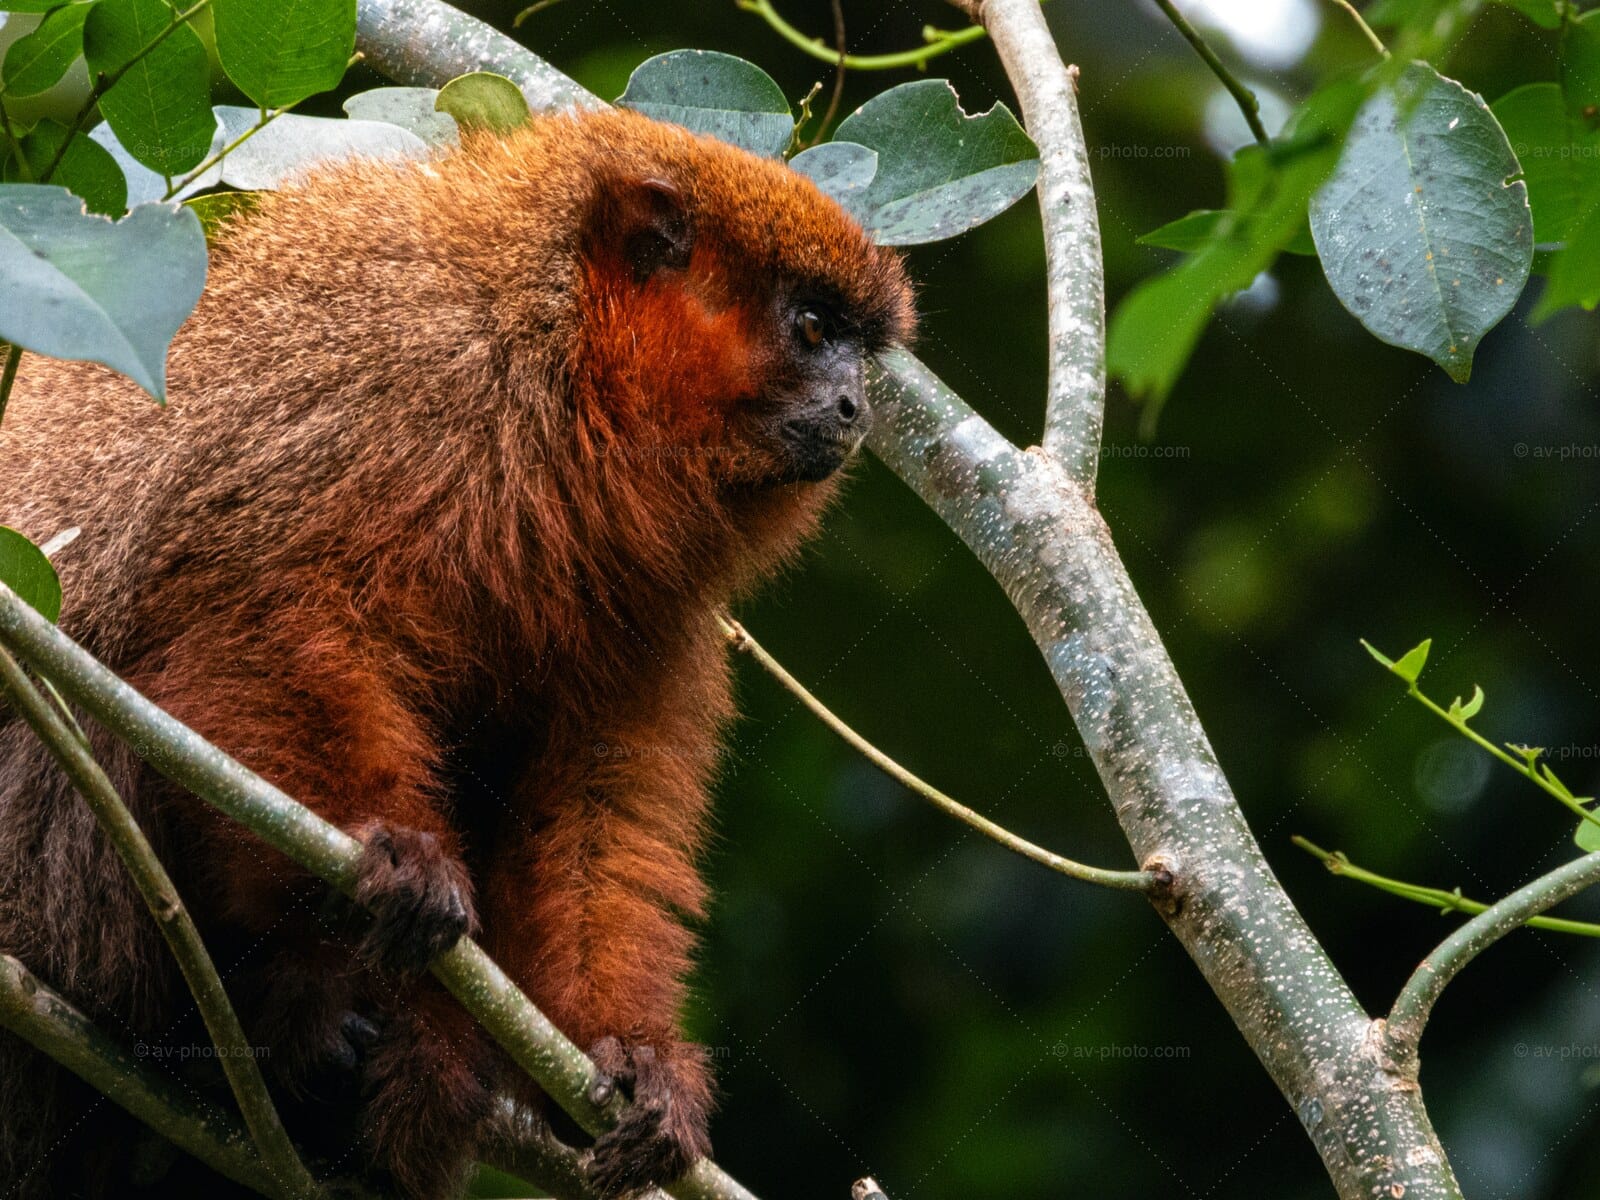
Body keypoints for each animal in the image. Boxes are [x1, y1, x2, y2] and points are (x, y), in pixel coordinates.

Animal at [0, 106, 914, 1199]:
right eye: (812, 330)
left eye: (859, 350)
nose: (859, 407)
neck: (556, 375)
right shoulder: (393, 390)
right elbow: (249, 607)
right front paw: (389, 847)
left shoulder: (653, 603)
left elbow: (596, 798)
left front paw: (632, 1060)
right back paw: (291, 1021)